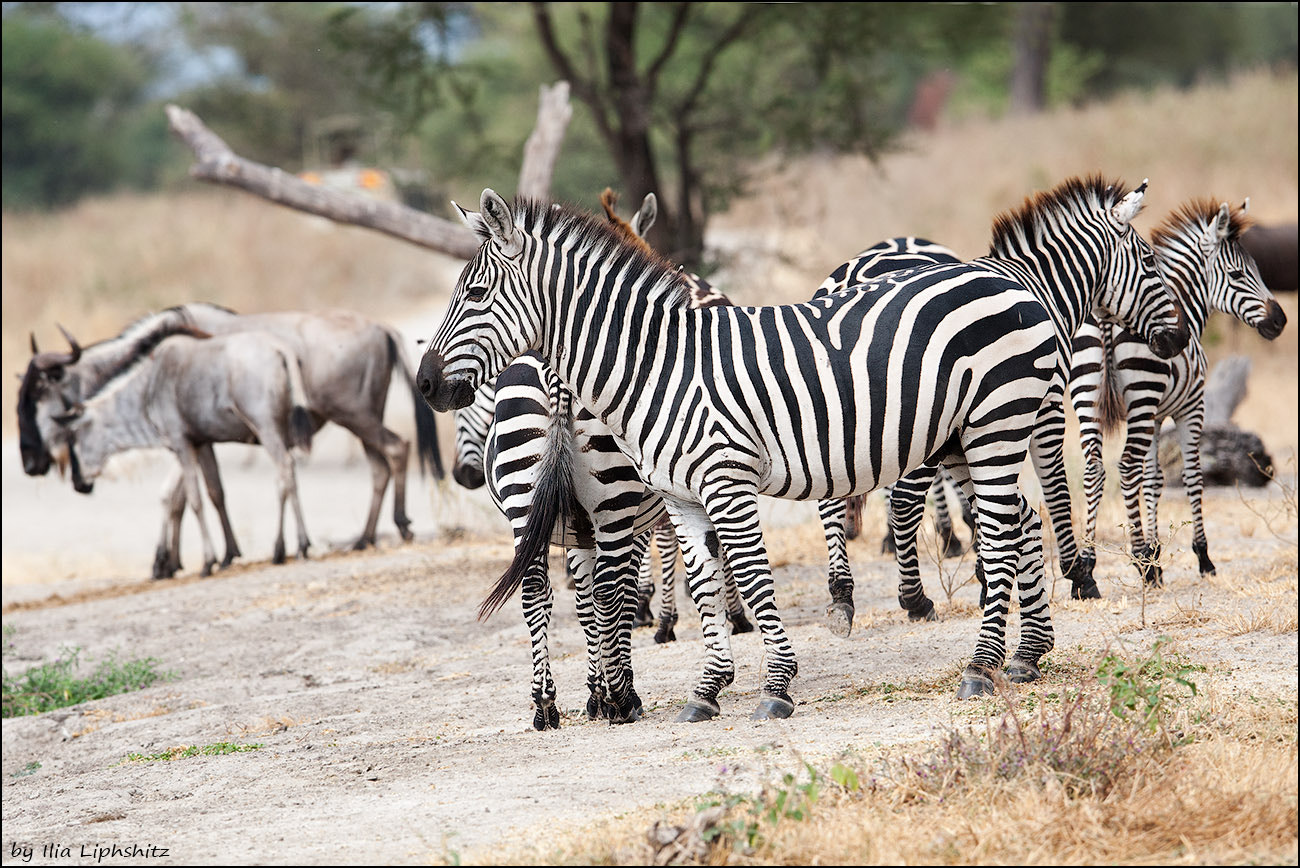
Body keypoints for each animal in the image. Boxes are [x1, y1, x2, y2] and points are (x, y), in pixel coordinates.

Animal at [418, 174, 1190, 717]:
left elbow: (754, 580)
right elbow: (706, 585)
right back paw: (1019, 655)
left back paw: (983, 666)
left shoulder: (726, 482)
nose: (424, 383)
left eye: (476, 292)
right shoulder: (681, 497)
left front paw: (776, 686)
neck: (654, 362)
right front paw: (707, 689)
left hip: (996, 426)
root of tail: (1008, 283)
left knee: (1004, 533)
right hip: (977, 435)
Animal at [1066, 198, 1289, 587]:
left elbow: (1155, 478)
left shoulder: (1156, 415)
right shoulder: (1190, 406)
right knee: (1126, 467)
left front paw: (1157, 553)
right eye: (1237, 275)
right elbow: (1191, 475)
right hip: (1139, 396)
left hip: (1086, 396)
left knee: (1094, 469)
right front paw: (1201, 557)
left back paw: (1088, 568)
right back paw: (1140, 562)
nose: (1280, 321)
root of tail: (1106, 315)